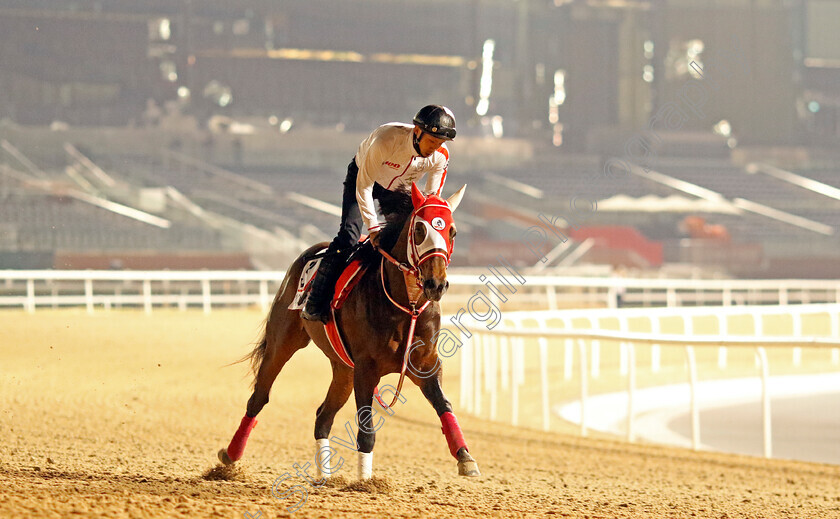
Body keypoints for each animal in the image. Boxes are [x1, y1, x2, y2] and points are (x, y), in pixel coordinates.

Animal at [217, 184, 480, 484]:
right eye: (419, 230)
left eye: (452, 231)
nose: (436, 284)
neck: (407, 305)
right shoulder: (366, 368)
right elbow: (366, 428)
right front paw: (366, 482)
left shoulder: (425, 365)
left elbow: (444, 405)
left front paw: (465, 457)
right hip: (282, 343)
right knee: (259, 398)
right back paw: (230, 456)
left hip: (343, 368)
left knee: (323, 416)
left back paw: (324, 476)